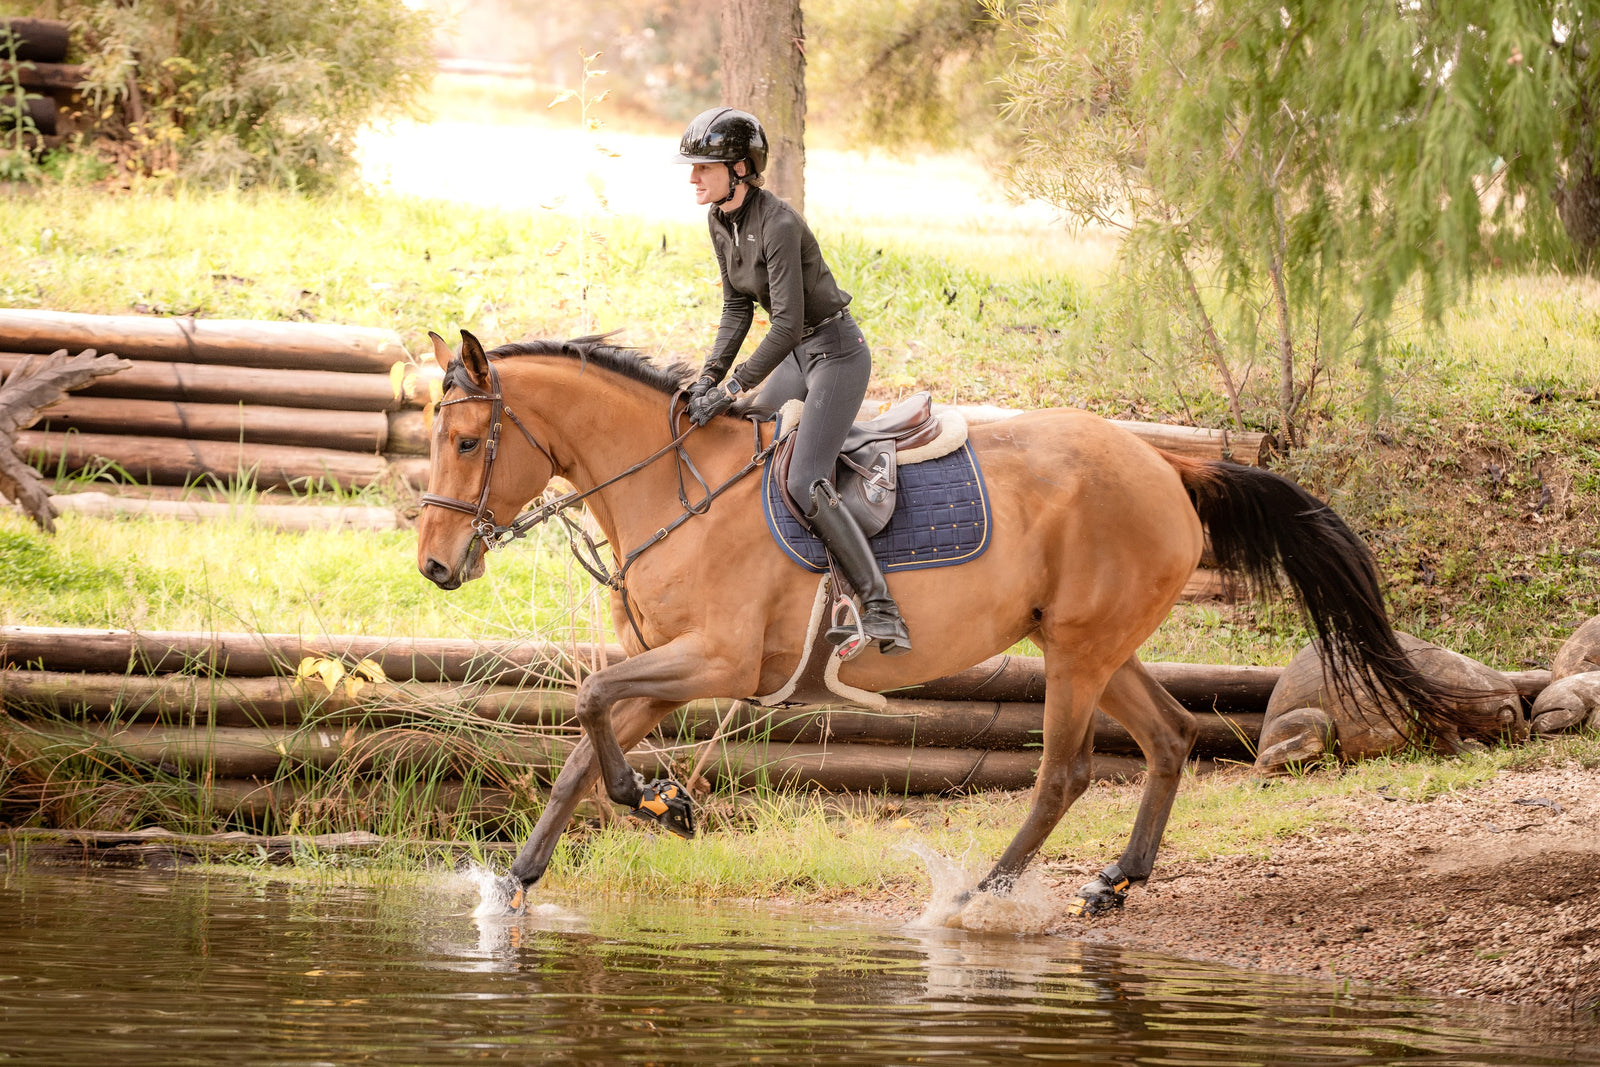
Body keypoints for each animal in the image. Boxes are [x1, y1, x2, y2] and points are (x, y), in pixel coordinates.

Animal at [416, 329, 1477, 915]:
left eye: (467, 441)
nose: (434, 565)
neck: (679, 488)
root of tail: (1170, 465)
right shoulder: (664, 662)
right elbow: (579, 749)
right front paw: (518, 882)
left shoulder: (715, 662)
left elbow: (590, 705)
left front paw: (659, 803)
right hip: (1089, 643)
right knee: (1173, 737)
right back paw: (1116, 880)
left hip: (1079, 654)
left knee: (1064, 773)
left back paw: (978, 898)